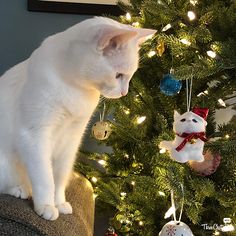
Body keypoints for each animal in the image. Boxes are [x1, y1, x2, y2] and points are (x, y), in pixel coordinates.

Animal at [0, 17, 157, 221]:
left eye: (130, 76)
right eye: (118, 75)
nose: (124, 92)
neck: (77, 89)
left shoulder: (72, 138)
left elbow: (59, 177)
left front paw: (59, 203)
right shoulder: (34, 136)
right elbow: (45, 179)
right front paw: (47, 206)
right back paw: (20, 189)